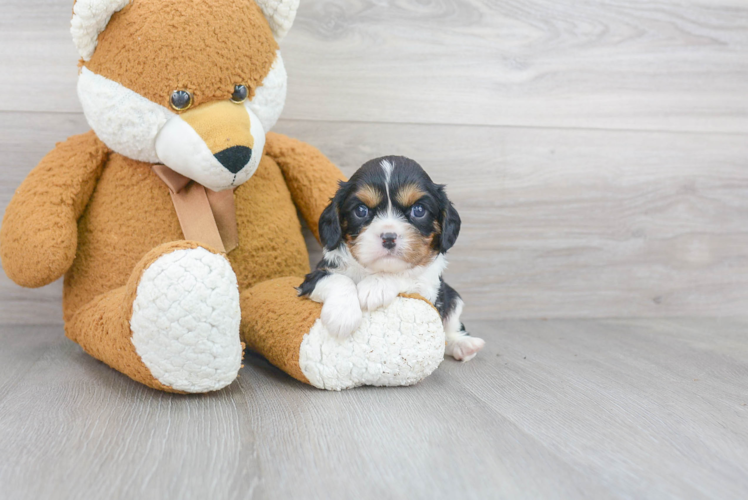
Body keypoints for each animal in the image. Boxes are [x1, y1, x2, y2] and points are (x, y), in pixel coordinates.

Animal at [298, 155, 486, 360]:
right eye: (361, 210)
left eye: (418, 210)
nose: (388, 237)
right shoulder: (313, 276)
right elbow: (338, 279)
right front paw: (342, 315)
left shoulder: (429, 288)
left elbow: (408, 276)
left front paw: (375, 286)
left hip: (452, 296)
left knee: (449, 328)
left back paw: (464, 344)